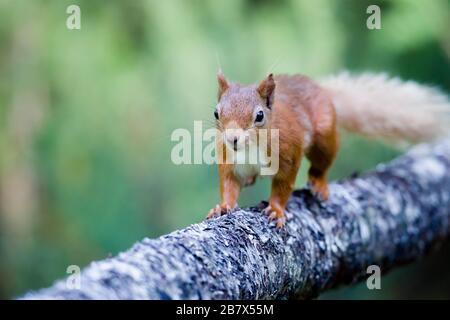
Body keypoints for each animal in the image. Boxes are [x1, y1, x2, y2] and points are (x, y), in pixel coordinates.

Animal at [207, 72, 450, 228]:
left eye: (259, 116)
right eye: (216, 113)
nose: (232, 139)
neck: (250, 148)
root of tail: (321, 89)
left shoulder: (288, 154)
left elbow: (283, 185)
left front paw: (276, 210)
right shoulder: (229, 161)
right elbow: (229, 184)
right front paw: (223, 206)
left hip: (324, 138)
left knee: (322, 163)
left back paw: (319, 183)